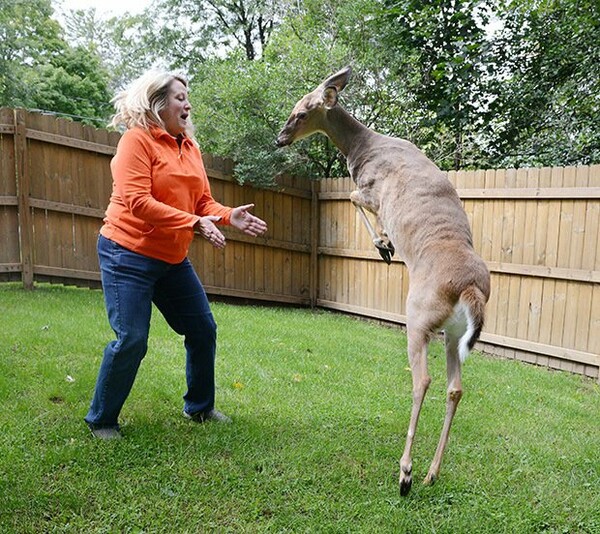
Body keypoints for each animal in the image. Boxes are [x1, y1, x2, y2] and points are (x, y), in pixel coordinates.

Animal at [276, 67, 492, 498]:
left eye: (302, 112)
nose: (280, 138)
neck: (362, 147)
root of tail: (471, 289)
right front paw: (386, 243)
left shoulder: (371, 189)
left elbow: (353, 198)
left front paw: (384, 245)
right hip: (453, 333)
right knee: (455, 387)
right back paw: (431, 472)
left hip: (418, 317)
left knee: (422, 379)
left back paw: (406, 473)